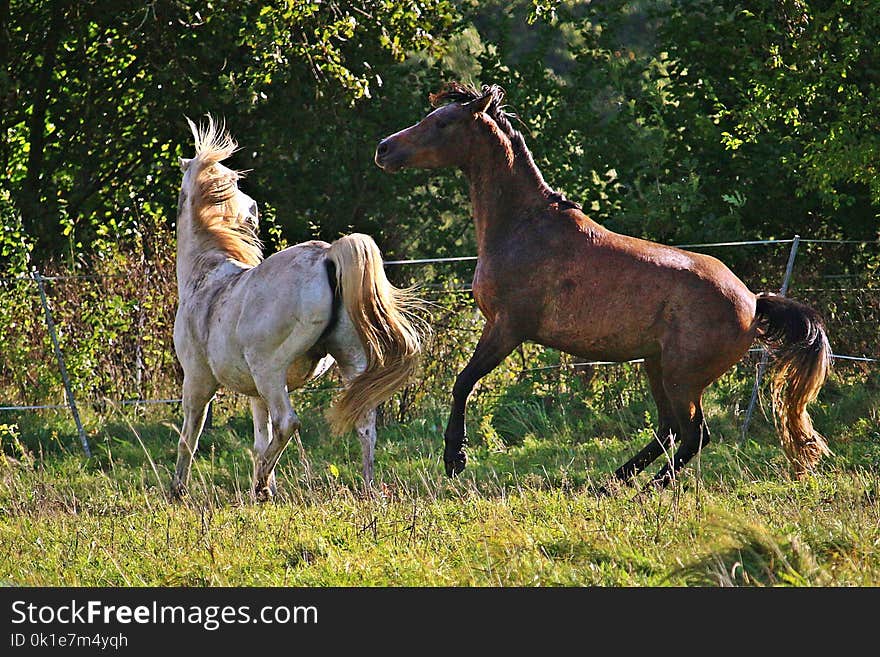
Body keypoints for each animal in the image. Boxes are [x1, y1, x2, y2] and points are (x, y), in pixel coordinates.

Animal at [173, 116, 426, 498]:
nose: (253, 212)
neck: (205, 275)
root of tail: (328, 255)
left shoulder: (198, 381)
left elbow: (190, 436)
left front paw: (178, 490)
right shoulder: (254, 393)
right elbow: (259, 438)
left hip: (270, 371)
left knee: (288, 422)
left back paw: (259, 485)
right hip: (350, 361)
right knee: (364, 423)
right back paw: (366, 489)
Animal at [372, 83, 832, 486]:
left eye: (442, 122)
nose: (384, 149)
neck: (522, 226)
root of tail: (753, 301)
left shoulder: (507, 327)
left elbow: (463, 382)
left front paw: (455, 457)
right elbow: (464, 382)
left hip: (682, 378)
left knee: (693, 435)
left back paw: (647, 487)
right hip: (656, 366)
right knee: (668, 430)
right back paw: (612, 481)